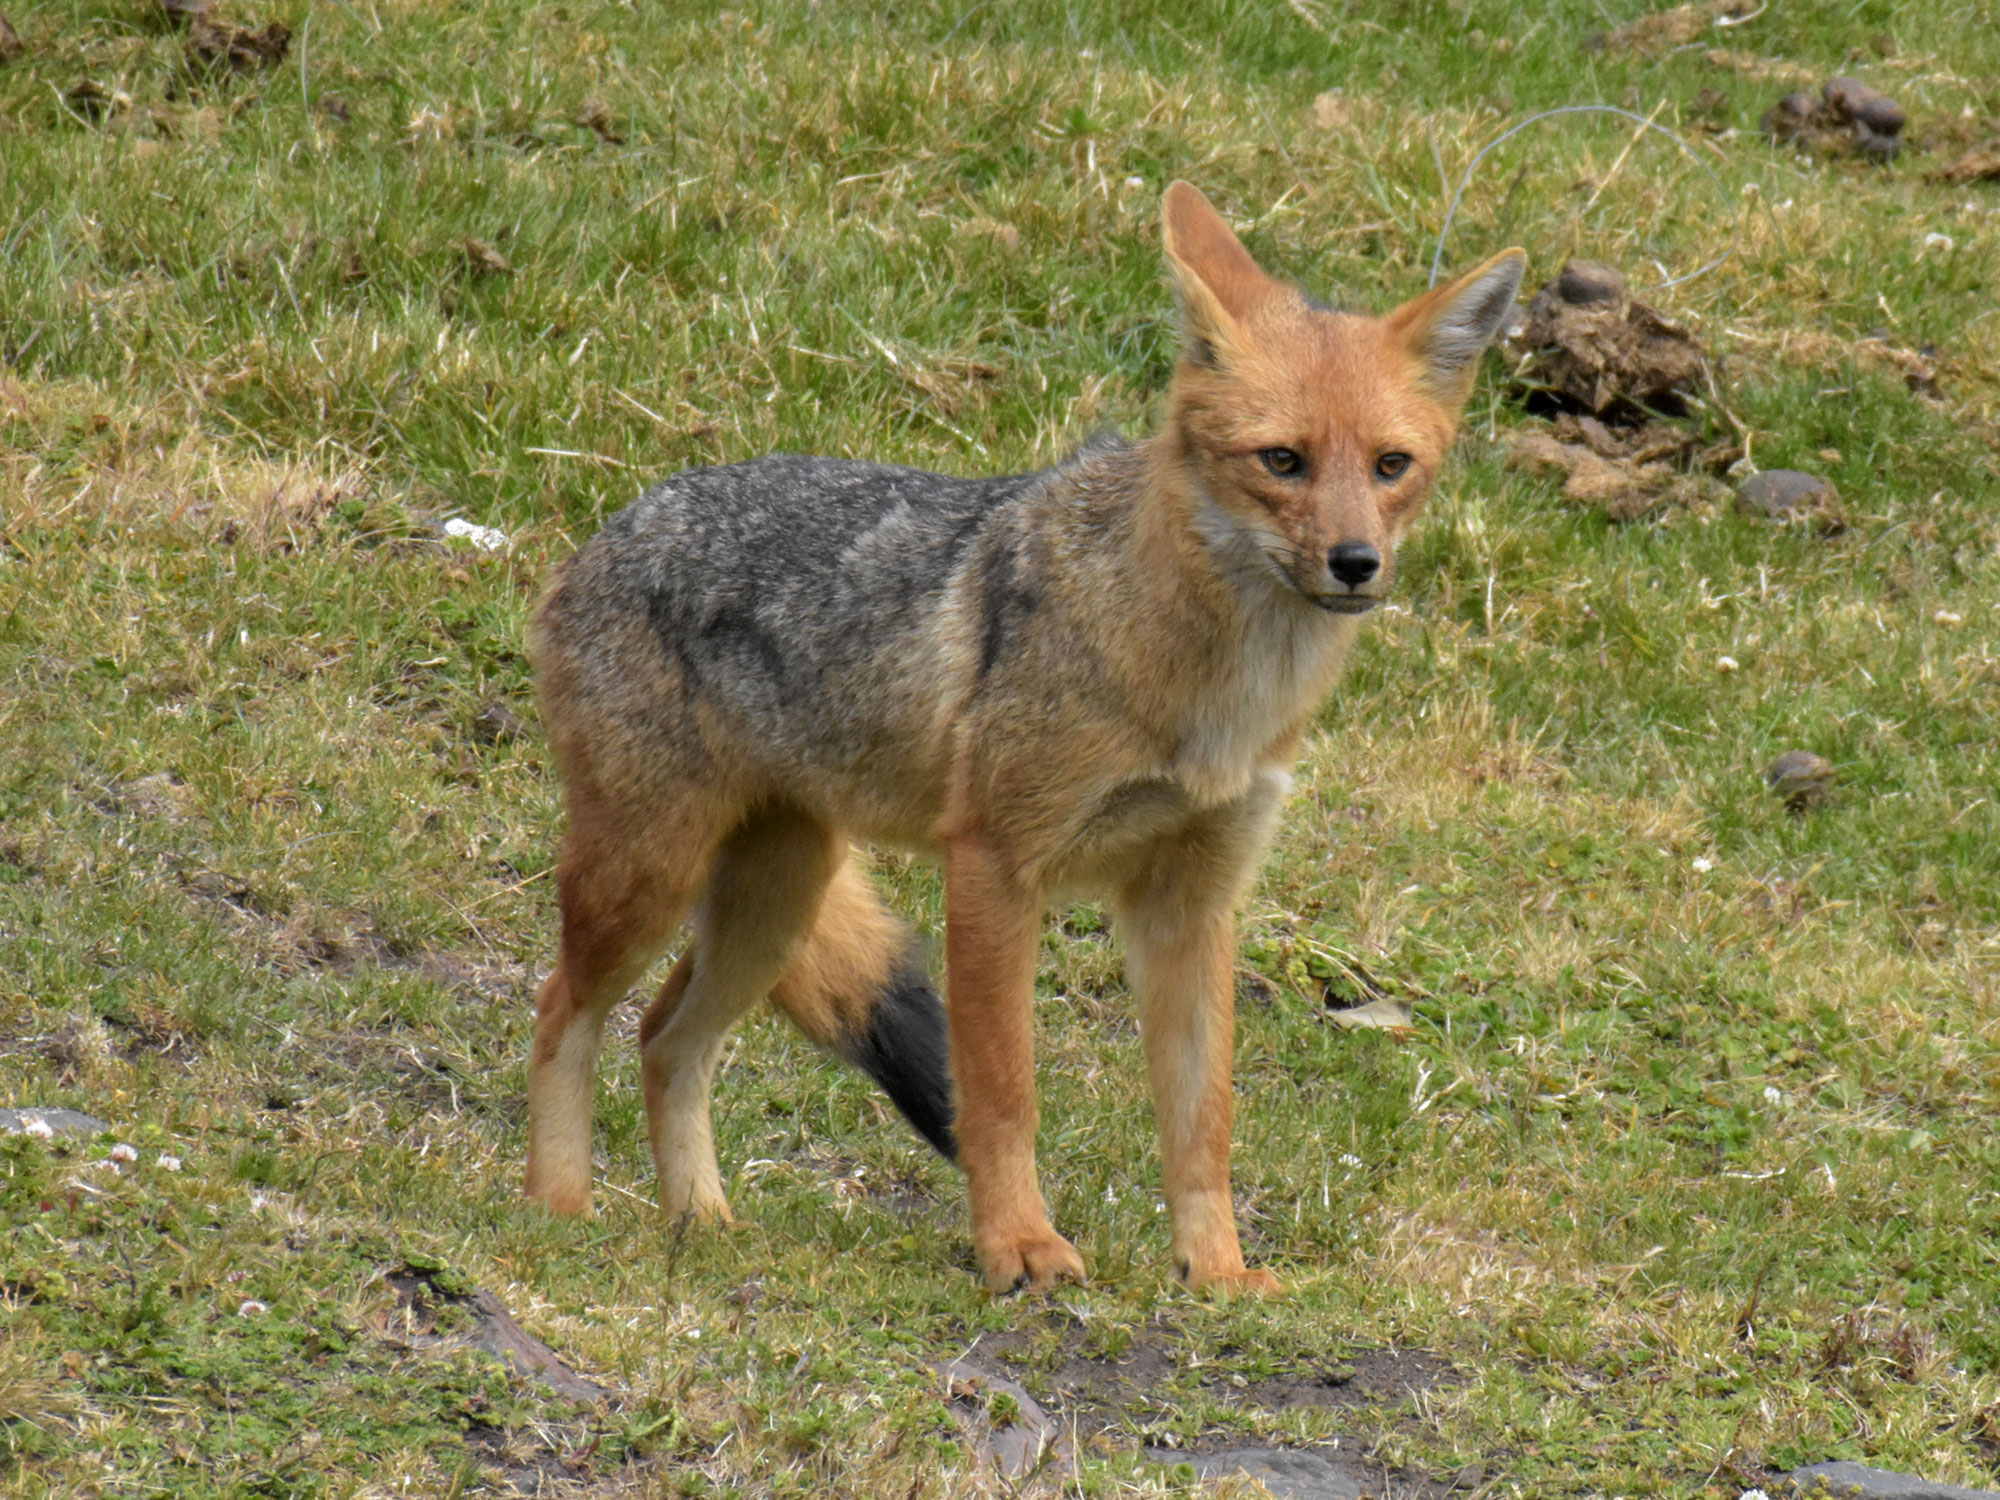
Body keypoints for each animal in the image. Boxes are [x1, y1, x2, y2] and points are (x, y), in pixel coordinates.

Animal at [524, 182, 1520, 1296]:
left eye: (1391, 466)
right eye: (1282, 461)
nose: (1355, 563)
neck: (1214, 688)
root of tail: (604, 531)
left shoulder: (1192, 901)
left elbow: (1202, 1122)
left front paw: (1215, 1274)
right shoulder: (997, 864)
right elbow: (1001, 1091)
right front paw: (1020, 1248)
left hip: (773, 904)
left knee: (664, 1039)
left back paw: (700, 1223)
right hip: (647, 879)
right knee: (561, 1012)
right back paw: (557, 1210)